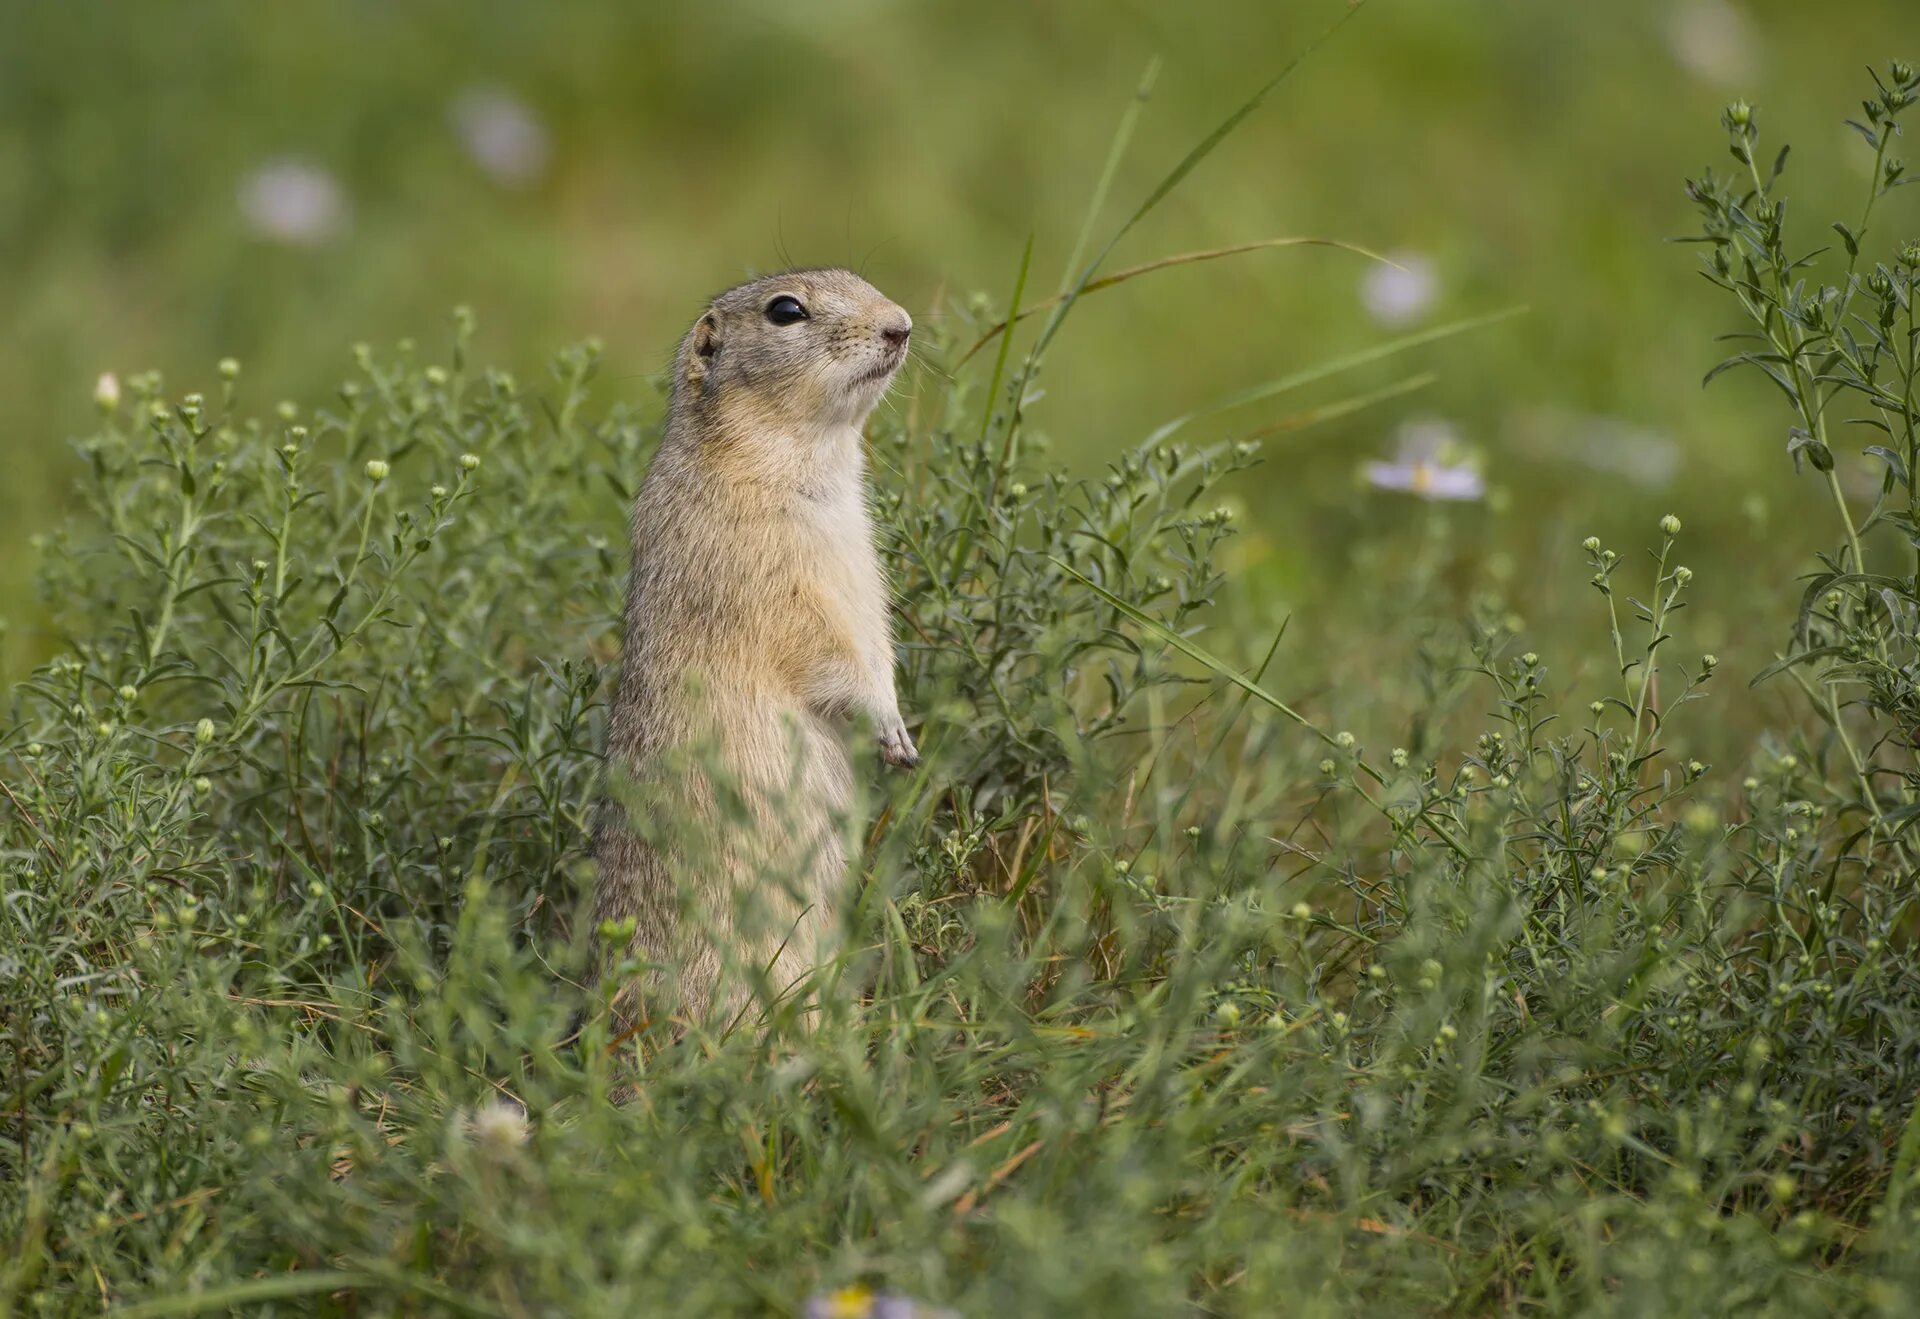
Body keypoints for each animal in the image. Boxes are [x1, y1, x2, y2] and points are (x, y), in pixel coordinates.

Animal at [591, 268, 921, 1029]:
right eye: (786, 310)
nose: (901, 324)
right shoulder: (767, 574)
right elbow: (826, 647)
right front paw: (889, 729)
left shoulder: (864, 575)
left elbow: (877, 643)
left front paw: (900, 729)